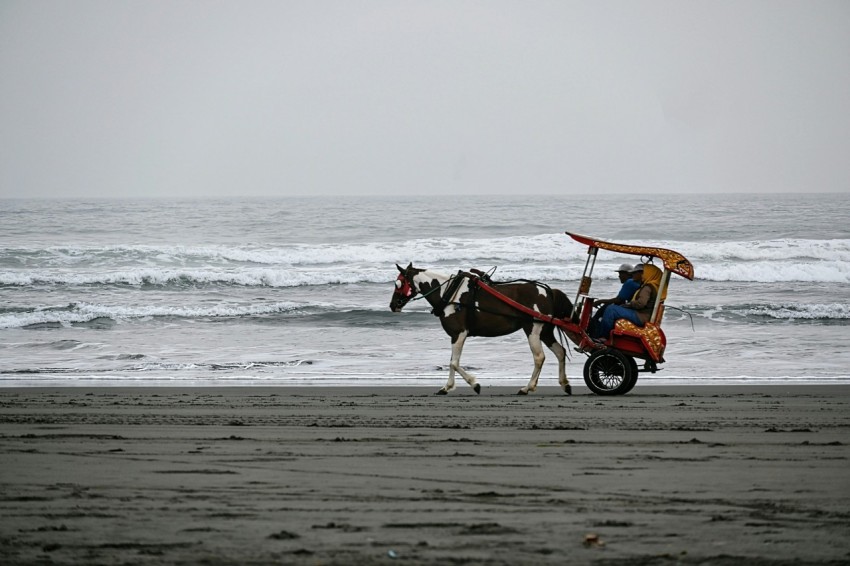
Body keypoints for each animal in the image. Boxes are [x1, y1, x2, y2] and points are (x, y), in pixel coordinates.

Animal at [389, 263, 574, 396]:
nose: (392, 305)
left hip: (533, 330)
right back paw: (564, 384)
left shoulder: (459, 334)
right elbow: (451, 362)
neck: (449, 293)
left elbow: (454, 363)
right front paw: (447, 387)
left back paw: (527, 387)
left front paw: (474, 384)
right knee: (560, 352)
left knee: (539, 357)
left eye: (399, 283)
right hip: (545, 332)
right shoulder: (455, 336)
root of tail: (548, 292)